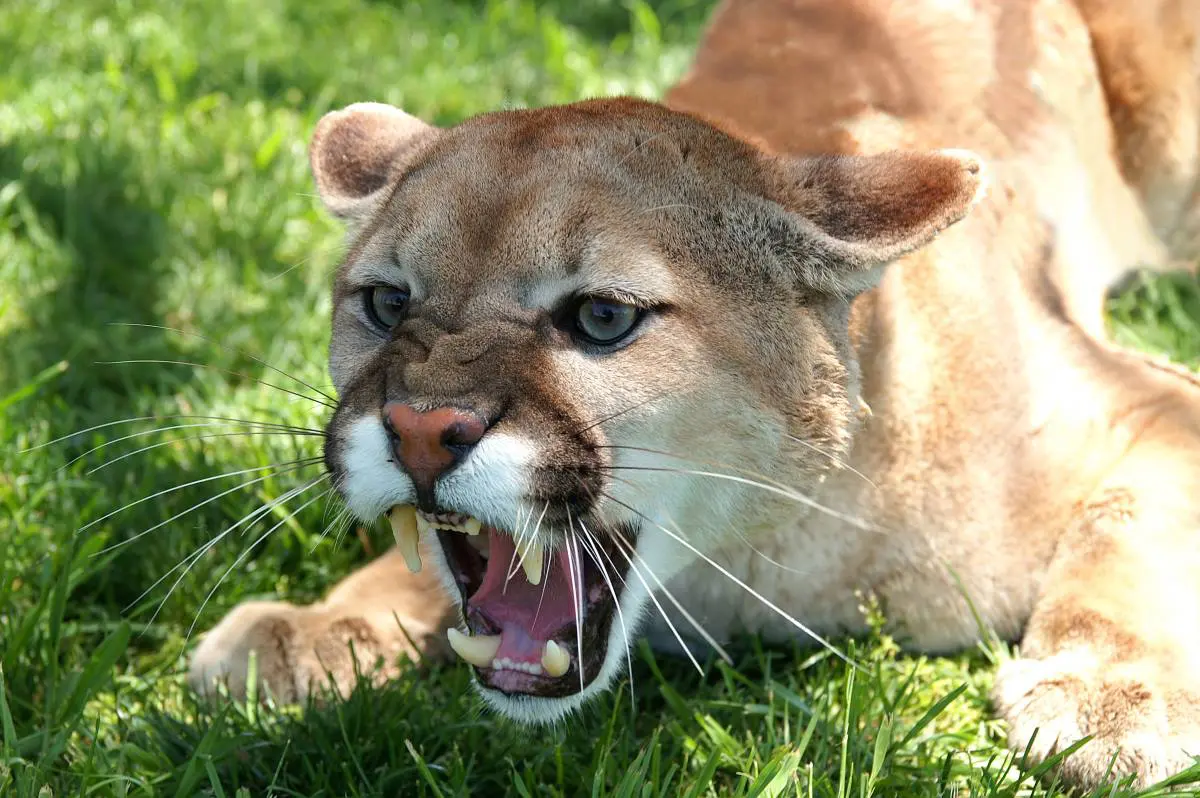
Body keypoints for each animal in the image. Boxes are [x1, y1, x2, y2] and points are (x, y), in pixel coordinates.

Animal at [188, 0, 1200, 787]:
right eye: (388, 302)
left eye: (601, 318)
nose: (420, 429)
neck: (751, 555)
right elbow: (430, 561)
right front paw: (319, 625)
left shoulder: (1153, 403)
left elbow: (1127, 531)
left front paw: (1110, 696)